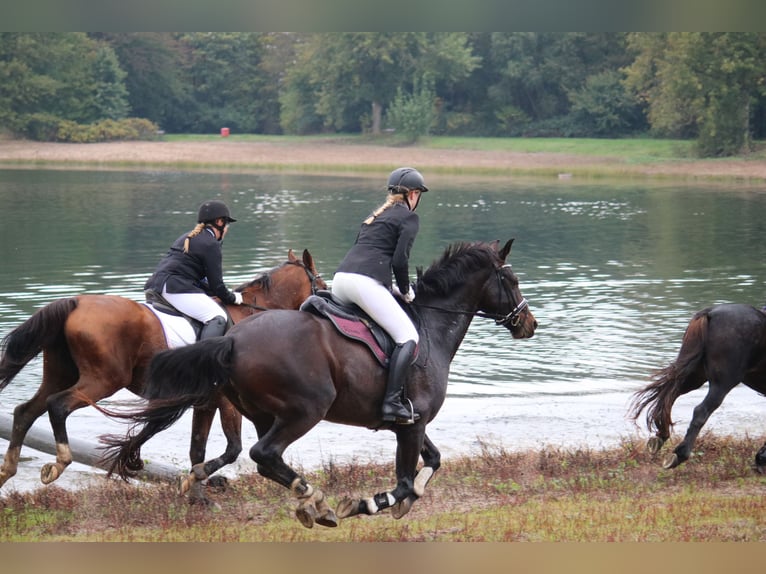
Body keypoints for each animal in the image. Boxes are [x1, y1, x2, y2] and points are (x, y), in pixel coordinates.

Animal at [0, 251, 328, 500]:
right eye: (321, 283)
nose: (322, 309)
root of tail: (77, 302)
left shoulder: (206, 403)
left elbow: (197, 449)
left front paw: (197, 497)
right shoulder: (226, 402)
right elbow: (232, 449)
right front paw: (195, 488)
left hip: (60, 373)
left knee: (26, 411)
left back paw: (7, 470)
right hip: (102, 380)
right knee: (57, 405)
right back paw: (58, 463)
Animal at [100, 240, 540, 532]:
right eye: (513, 278)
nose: (529, 324)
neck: (430, 327)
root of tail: (232, 339)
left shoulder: (410, 423)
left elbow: (431, 462)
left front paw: (402, 499)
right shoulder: (412, 424)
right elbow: (403, 481)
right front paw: (367, 504)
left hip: (263, 412)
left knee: (265, 459)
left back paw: (303, 498)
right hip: (306, 409)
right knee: (263, 454)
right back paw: (314, 500)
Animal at [632, 304, 766, 470]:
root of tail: (710, 313)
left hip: (694, 375)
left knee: (669, 396)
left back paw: (661, 436)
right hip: (722, 383)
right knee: (701, 410)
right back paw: (679, 454)